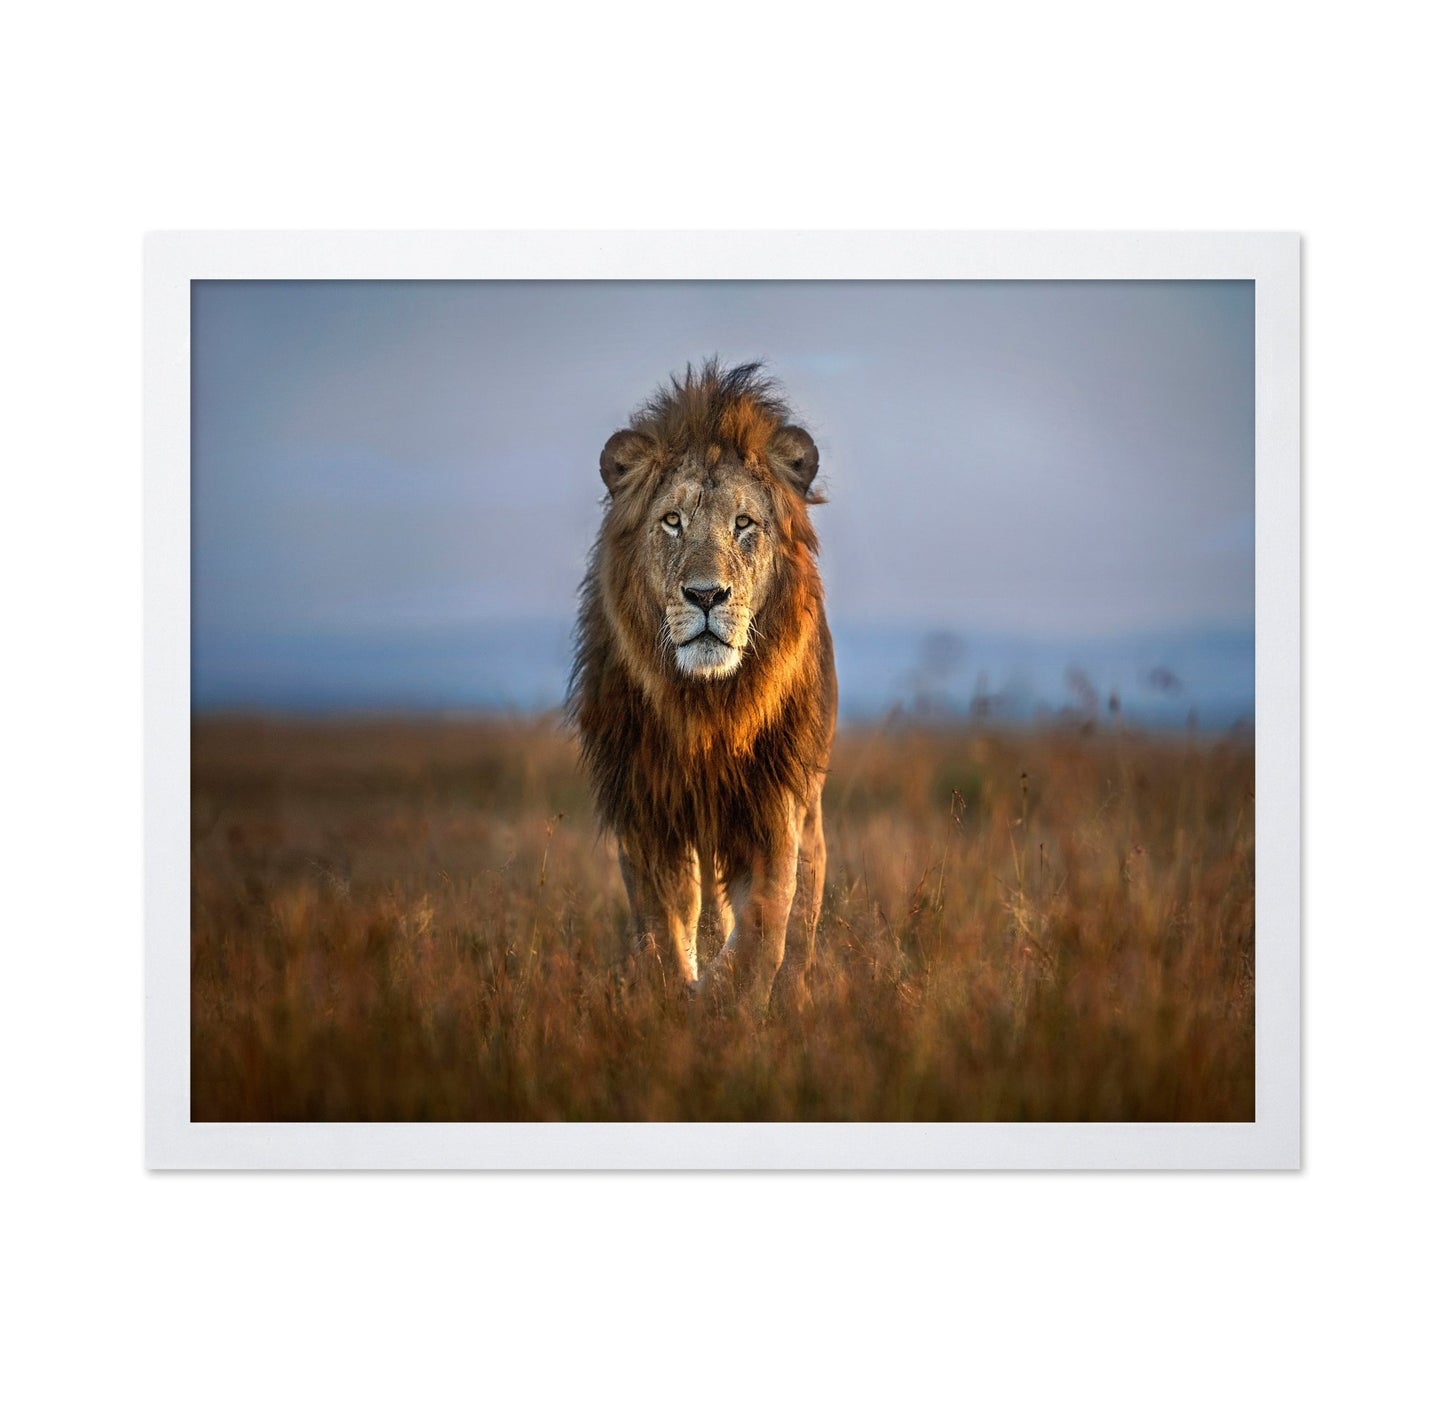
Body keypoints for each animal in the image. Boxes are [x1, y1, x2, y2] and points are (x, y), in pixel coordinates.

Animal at [568, 360, 837, 1009]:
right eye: (673, 521)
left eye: (744, 524)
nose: (707, 595)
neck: (707, 705)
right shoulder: (646, 808)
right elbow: (664, 925)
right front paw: (677, 996)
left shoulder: (773, 805)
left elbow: (765, 921)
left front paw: (727, 1000)